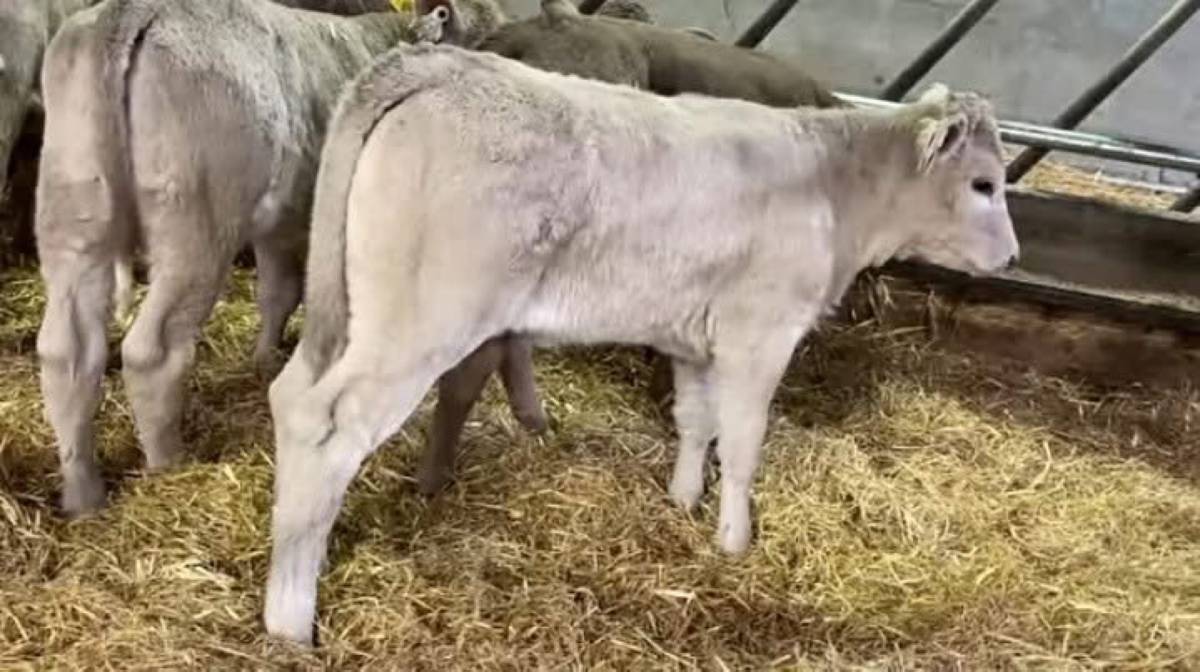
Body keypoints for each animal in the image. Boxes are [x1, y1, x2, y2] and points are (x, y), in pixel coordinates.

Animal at [33, 0, 520, 517]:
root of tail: (131, 12)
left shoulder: (279, 223)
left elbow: (274, 292)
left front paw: (264, 356)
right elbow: (294, 292)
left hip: (75, 212)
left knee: (68, 351)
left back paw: (83, 493)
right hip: (195, 229)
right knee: (152, 353)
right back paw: (168, 463)